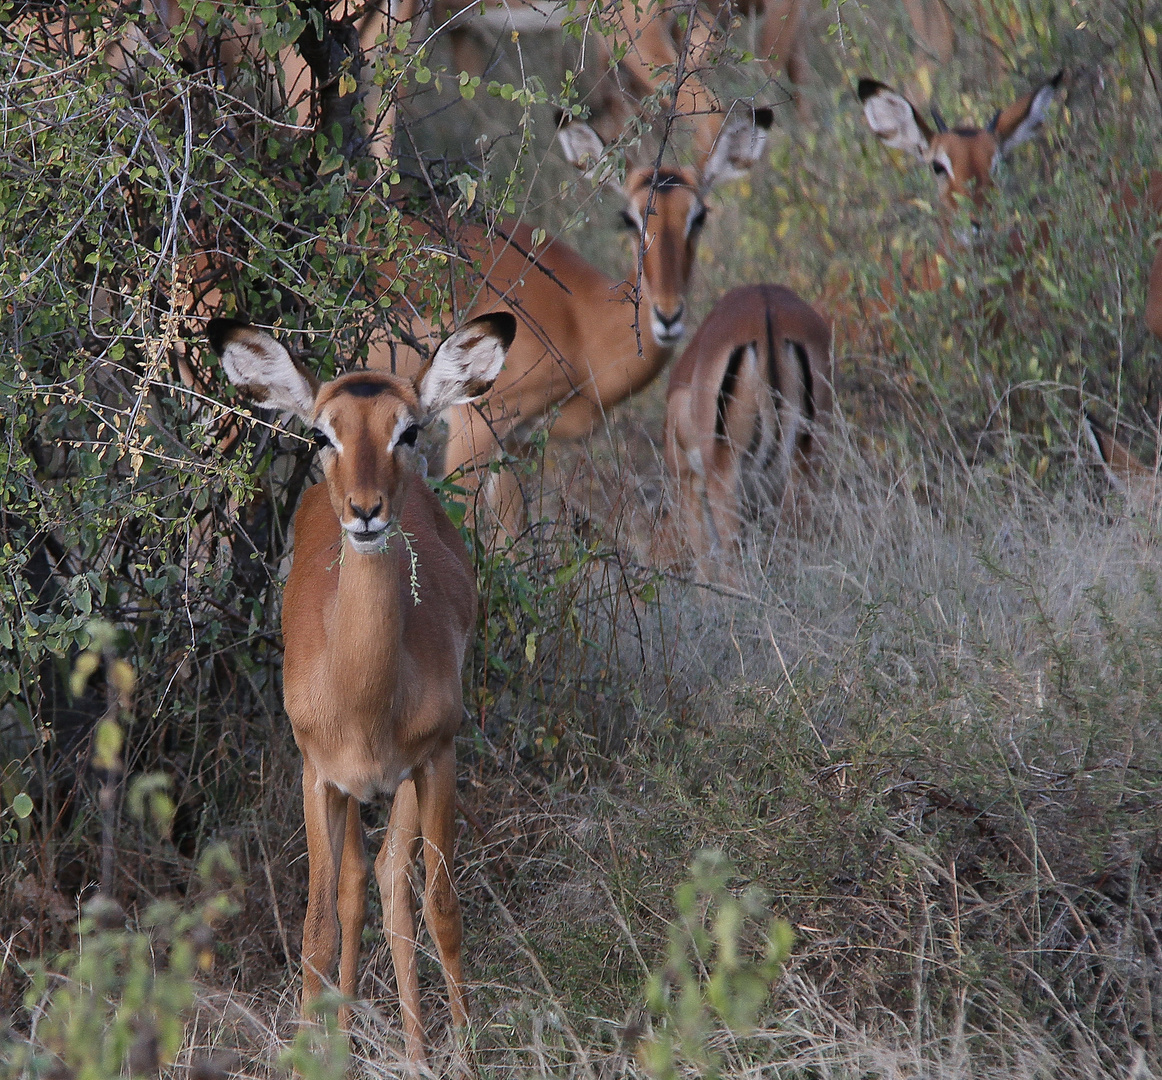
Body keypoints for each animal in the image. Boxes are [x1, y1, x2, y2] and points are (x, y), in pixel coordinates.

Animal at [210, 309, 518, 1060]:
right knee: (355, 887)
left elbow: (442, 911)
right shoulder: (319, 775)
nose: (366, 510)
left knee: (392, 884)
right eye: (323, 432)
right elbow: (318, 931)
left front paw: (463, 1056)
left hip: (401, 784)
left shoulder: (436, 760)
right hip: (352, 793)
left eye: (406, 429)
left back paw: (415, 1051)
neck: (365, 698)